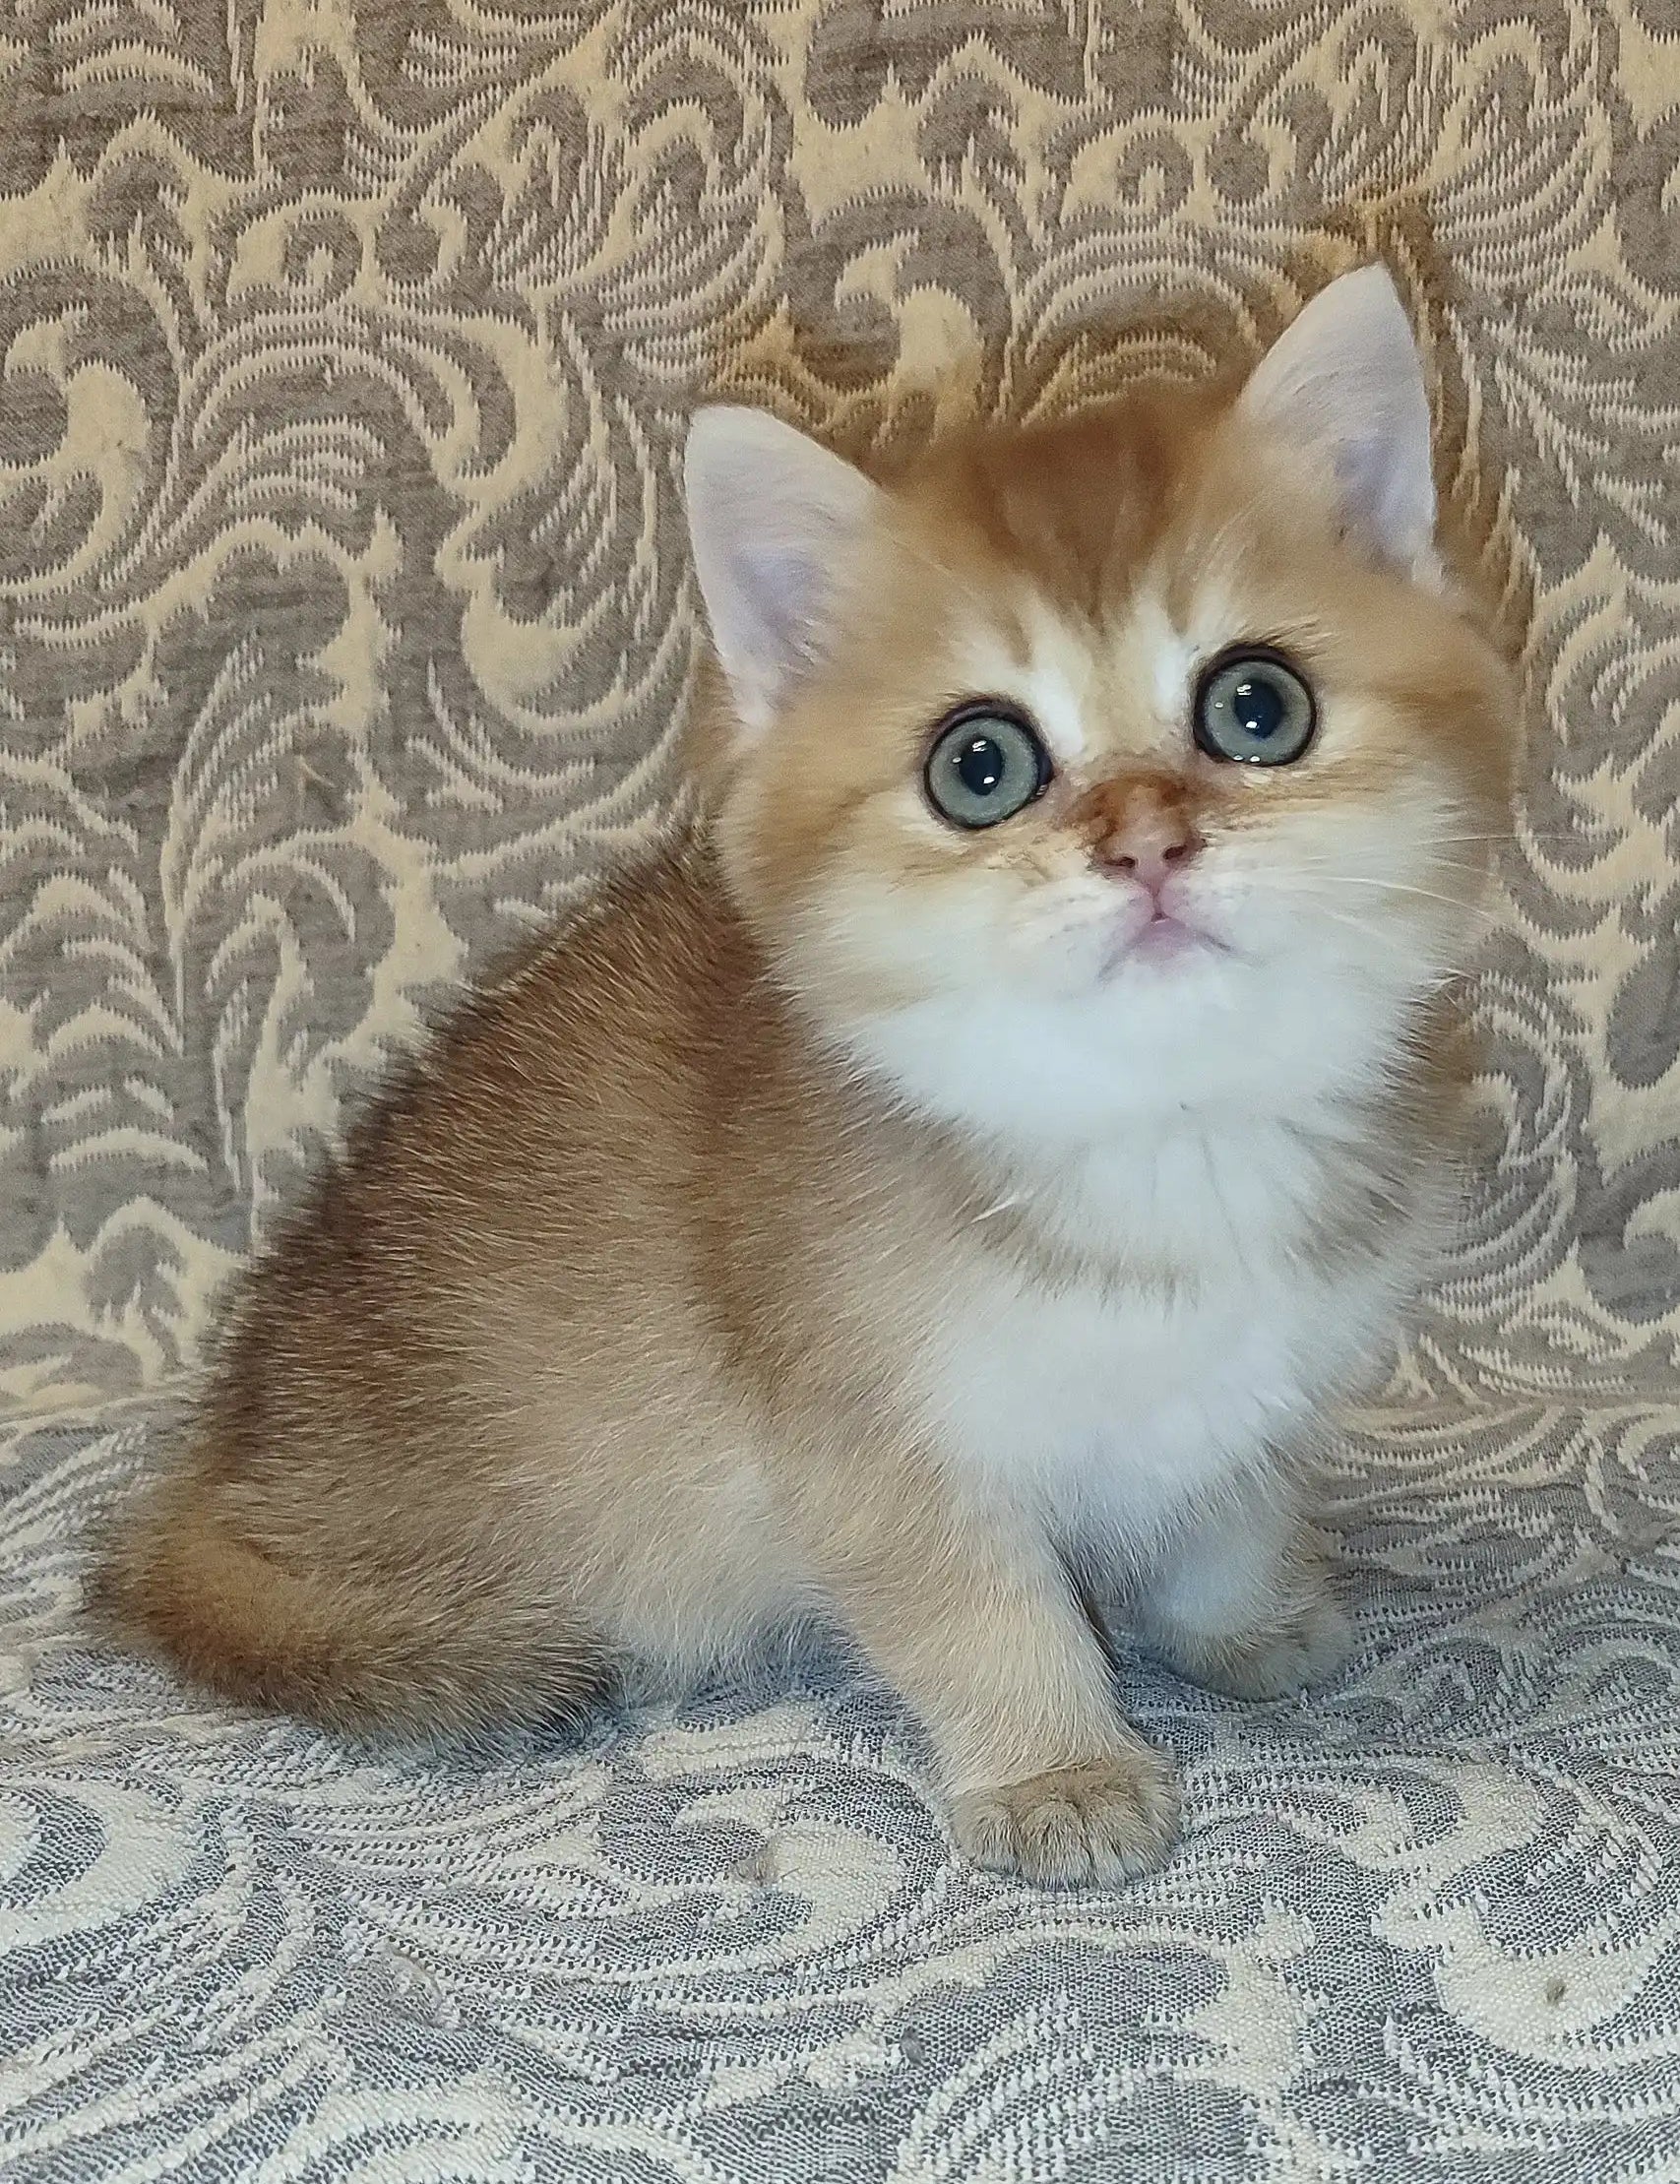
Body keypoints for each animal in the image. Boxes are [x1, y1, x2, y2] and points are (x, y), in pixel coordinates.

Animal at [97, 268, 1512, 1878]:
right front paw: (1057, 1767)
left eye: (1256, 706)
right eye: (980, 763)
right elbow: (975, 1609)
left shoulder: (1257, 1389)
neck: (1163, 1133)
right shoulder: (862, 1445)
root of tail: (213, 1469)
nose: (1146, 843)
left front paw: (1243, 1618)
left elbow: (1224, 1509)